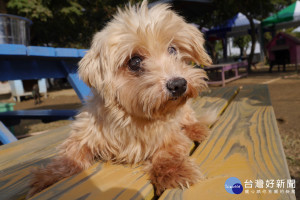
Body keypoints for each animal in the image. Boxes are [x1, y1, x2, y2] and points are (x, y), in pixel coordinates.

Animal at [27, 0, 211, 197]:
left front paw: (175, 171)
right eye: (135, 61)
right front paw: (48, 176)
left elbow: (169, 152)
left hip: (185, 111)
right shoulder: (85, 134)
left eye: (173, 50)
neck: (133, 117)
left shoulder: (170, 134)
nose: (178, 84)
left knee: (190, 119)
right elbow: (70, 155)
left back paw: (197, 129)